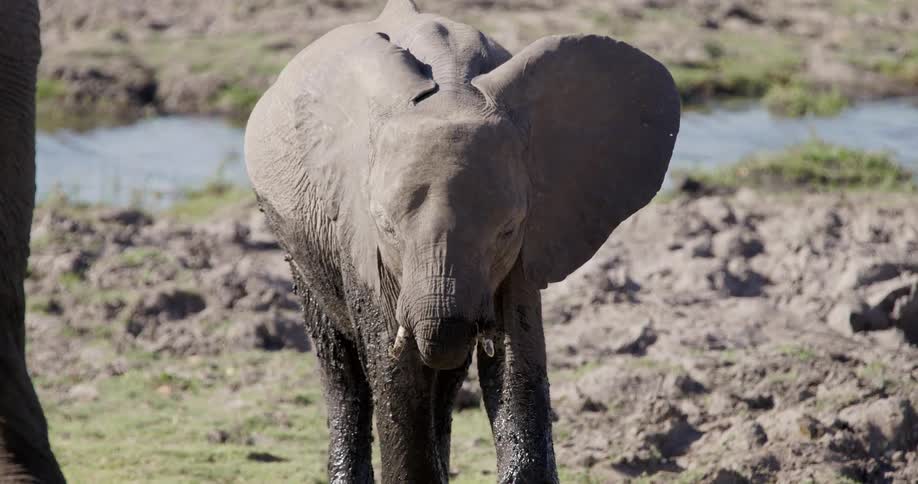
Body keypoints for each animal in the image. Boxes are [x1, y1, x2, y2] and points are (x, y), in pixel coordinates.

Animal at [244, 0, 679, 482]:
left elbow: (516, 359)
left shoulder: (532, 234)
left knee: (446, 381)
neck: (451, 87)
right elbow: (395, 370)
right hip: (295, 238)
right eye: (386, 226)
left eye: (507, 229)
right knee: (341, 370)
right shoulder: (357, 233)